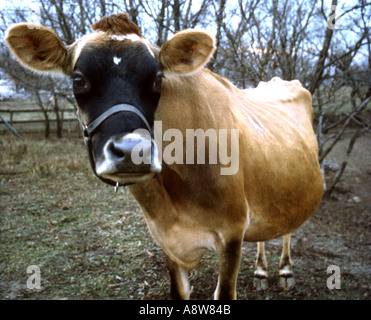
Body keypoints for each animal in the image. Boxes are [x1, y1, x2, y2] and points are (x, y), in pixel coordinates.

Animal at [6, 13, 326, 300]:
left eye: (157, 79)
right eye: (78, 80)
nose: (132, 150)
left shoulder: (233, 232)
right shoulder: (166, 238)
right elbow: (178, 291)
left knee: (287, 228)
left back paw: (285, 270)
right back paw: (261, 271)